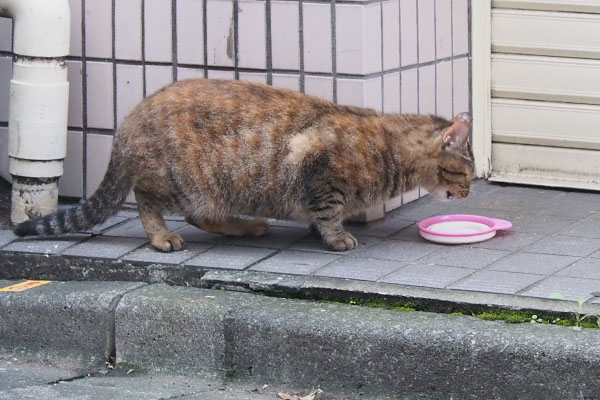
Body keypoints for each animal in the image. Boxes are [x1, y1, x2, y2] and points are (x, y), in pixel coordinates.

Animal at [11, 79, 476, 252]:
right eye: (468, 173)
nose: (470, 190)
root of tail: (128, 120)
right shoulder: (319, 175)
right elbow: (328, 214)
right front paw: (336, 236)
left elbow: (321, 215)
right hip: (182, 180)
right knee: (148, 201)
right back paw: (161, 237)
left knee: (199, 216)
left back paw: (246, 226)